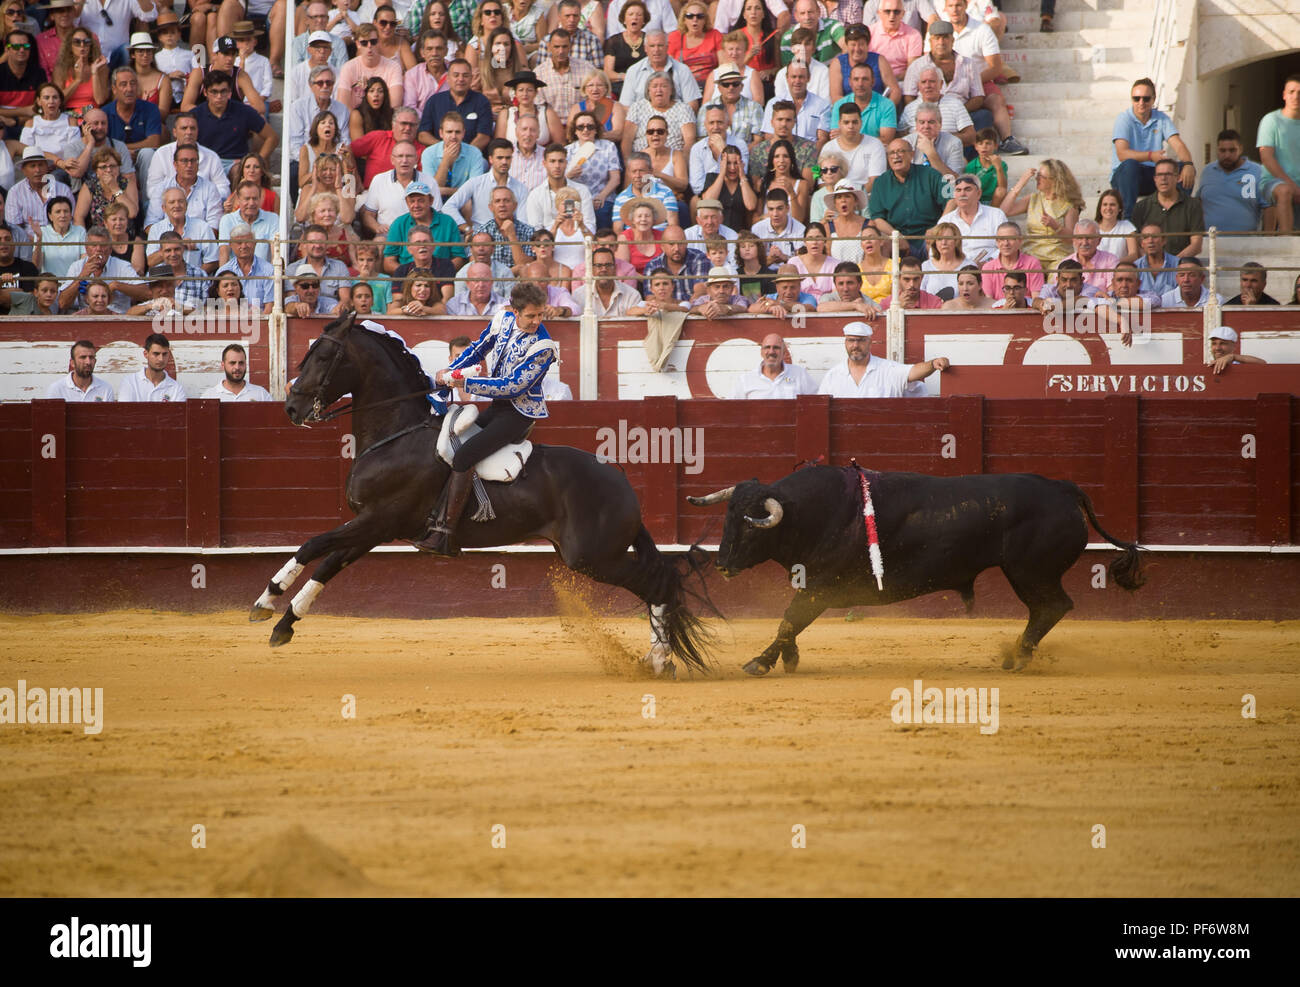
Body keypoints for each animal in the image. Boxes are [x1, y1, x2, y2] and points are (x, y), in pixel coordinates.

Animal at [250, 312, 712, 676]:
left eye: (324, 356)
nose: (292, 407)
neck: (395, 434)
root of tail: (622, 484)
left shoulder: (379, 519)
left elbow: (313, 544)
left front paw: (266, 600)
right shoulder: (373, 527)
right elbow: (329, 563)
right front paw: (283, 623)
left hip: (591, 557)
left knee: (659, 584)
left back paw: (659, 662)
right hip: (593, 556)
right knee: (658, 583)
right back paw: (657, 659)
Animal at [691, 468, 1138, 676]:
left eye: (752, 525)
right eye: (727, 517)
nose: (722, 564)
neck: (815, 512)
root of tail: (1063, 488)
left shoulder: (820, 587)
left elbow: (789, 620)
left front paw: (760, 662)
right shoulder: (812, 588)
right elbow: (791, 625)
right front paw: (789, 659)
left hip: (1030, 572)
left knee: (1053, 606)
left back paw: (1018, 656)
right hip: (1029, 574)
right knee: (1048, 609)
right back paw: (1018, 654)